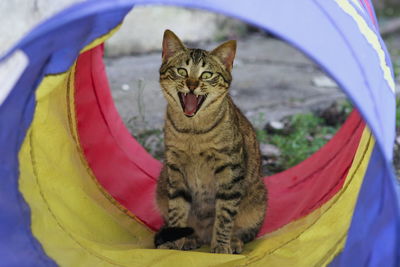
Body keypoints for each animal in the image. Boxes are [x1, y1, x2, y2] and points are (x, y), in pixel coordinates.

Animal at [155, 29, 268, 255]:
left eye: (207, 75)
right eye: (182, 71)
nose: (192, 85)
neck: (193, 132)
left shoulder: (229, 170)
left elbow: (225, 214)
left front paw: (222, 247)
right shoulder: (175, 169)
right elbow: (177, 210)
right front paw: (174, 243)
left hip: (258, 200)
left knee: (246, 231)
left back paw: (234, 242)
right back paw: (191, 239)